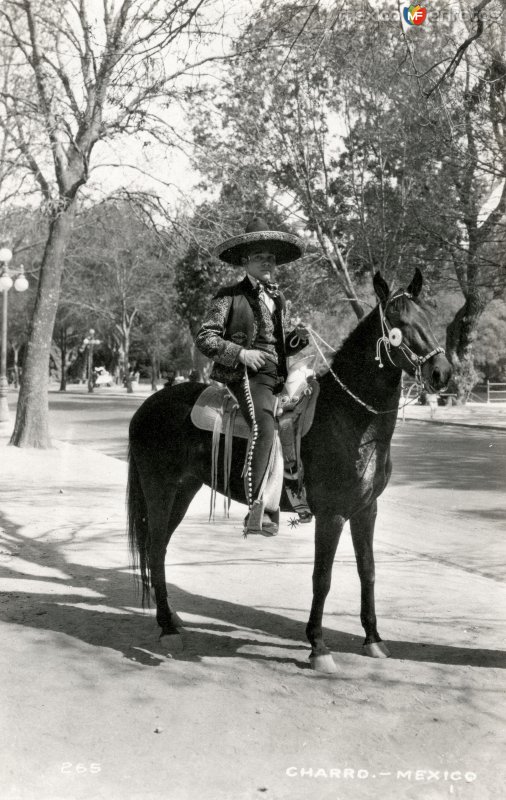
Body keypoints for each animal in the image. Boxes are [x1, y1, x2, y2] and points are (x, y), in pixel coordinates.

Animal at [126, 272, 450, 672]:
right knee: (155, 548)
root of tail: (146, 407)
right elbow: (322, 578)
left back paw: (171, 618)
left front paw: (373, 639)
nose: (442, 372)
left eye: (428, 319)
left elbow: (368, 571)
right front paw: (318, 646)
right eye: (399, 323)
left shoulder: (366, 510)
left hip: (184, 490)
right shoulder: (333, 515)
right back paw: (167, 626)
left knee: (159, 548)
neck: (349, 418)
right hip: (160, 489)